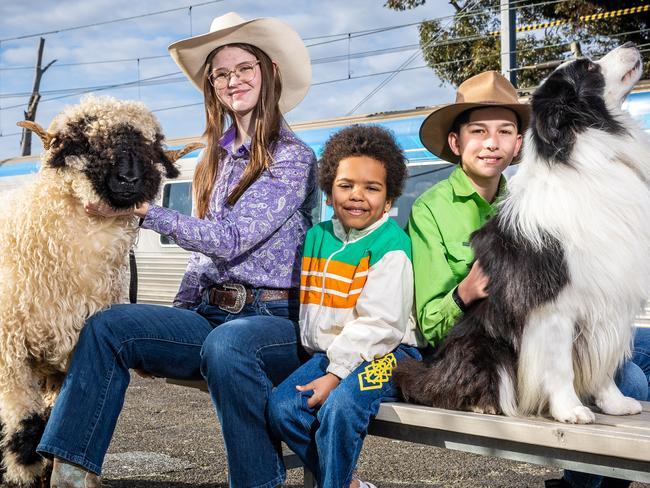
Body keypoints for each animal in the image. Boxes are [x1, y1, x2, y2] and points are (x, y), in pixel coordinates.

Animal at [394, 44, 648, 424]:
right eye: (588, 67)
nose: (632, 46)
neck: (585, 149)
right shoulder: (554, 305)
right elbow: (560, 365)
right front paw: (570, 409)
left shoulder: (605, 296)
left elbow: (602, 362)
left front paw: (614, 403)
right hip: (480, 346)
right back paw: (480, 402)